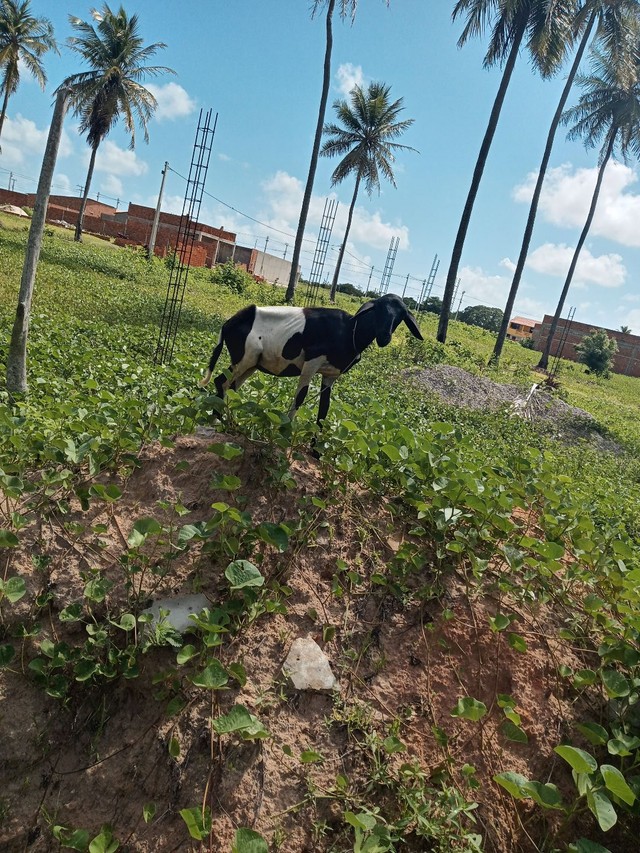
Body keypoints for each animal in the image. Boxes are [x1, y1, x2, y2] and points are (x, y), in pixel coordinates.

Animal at [199, 292, 420, 426]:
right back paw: (217, 420)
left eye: (401, 315)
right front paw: (285, 432)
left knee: (231, 387)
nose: (384, 337)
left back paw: (225, 421)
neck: (349, 331)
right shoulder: (311, 363)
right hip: (243, 358)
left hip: (252, 364)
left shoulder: (331, 376)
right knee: (221, 381)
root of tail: (231, 322)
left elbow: (324, 408)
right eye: (379, 308)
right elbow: (300, 397)